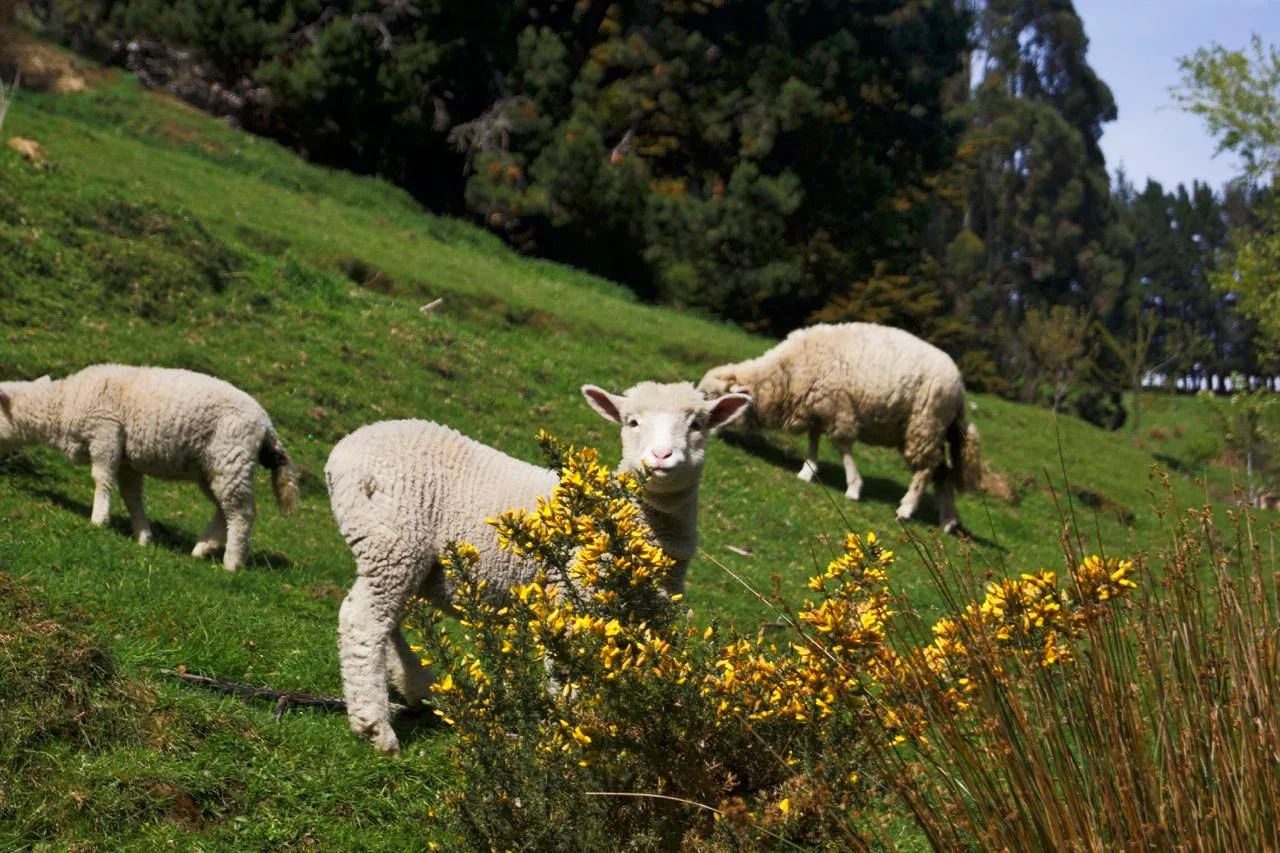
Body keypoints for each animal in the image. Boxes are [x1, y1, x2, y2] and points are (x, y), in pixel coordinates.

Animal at [0, 364, 299, 570]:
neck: (64, 403)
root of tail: (266, 423)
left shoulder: (105, 434)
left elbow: (101, 479)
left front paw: (99, 520)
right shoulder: (126, 459)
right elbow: (132, 497)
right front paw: (143, 536)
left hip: (231, 457)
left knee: (241, 512)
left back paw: (231, 563)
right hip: (212, 467)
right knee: (224, 509)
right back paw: (202, 548)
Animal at [325, 381, 751, 754]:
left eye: (697, 424)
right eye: (631, 422)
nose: (662, 458)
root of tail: (343, 452)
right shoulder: (576, 596)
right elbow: (568, 671)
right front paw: (572, 733)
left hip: (402, 554)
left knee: (389, 622)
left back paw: (421, 689)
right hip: (393, 540)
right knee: (364, 621)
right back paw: (376, 726)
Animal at [696, 322, 982, 533]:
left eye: (713, 399)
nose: (709, 437)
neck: (787, 374)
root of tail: (959, 387)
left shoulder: (839, 409)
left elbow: (843, 448)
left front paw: (853, 487)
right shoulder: (817, 408)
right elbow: (813, 441)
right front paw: (808, 471)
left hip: (924, 424)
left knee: (926, 470)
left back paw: (907, 509)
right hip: (929, 430)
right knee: (943, 472)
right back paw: (948, 521)